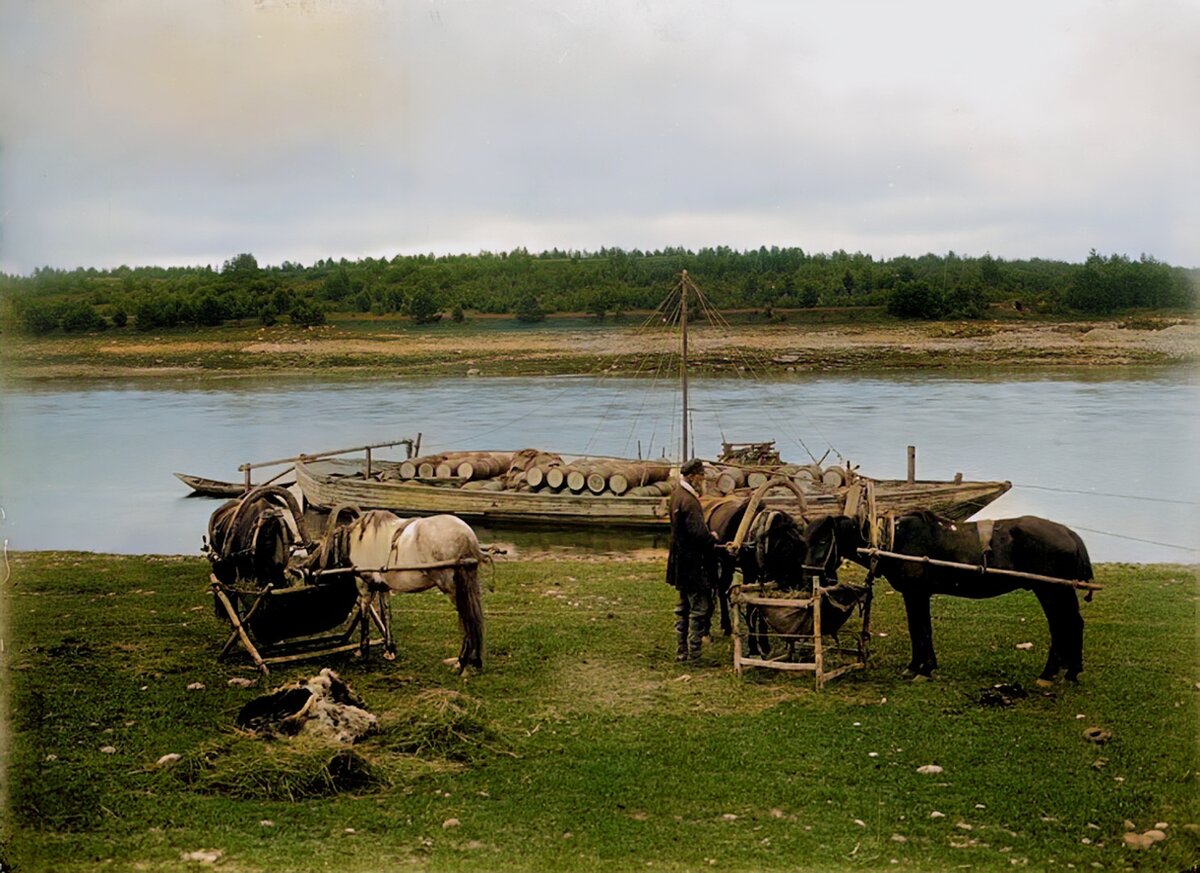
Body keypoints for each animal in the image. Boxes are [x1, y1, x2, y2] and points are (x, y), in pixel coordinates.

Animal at [309, 508, 487, 671]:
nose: (312, 578)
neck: (358, 540)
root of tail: (466, 536)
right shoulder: (383, 586)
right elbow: (386, 615)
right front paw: (389, 649)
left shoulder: (364, 585)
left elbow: (365, 616)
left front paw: (363, 651)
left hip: (453, 589)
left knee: (467, 619)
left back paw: (461, 660)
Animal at [801, 510, 1094, 681]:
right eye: (806, 541)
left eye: (824, 541)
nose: (808, 573)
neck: (893, 541)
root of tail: (1069, 533)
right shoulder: (917, 594)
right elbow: (919, 629)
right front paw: (920, 666)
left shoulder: (916, 593)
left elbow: (920, 629)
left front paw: (922, 668)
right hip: (1058, 592)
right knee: (1071, 624)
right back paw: (1071, 670)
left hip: (1050, 590)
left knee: (1062, 625)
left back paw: (1051, 672)